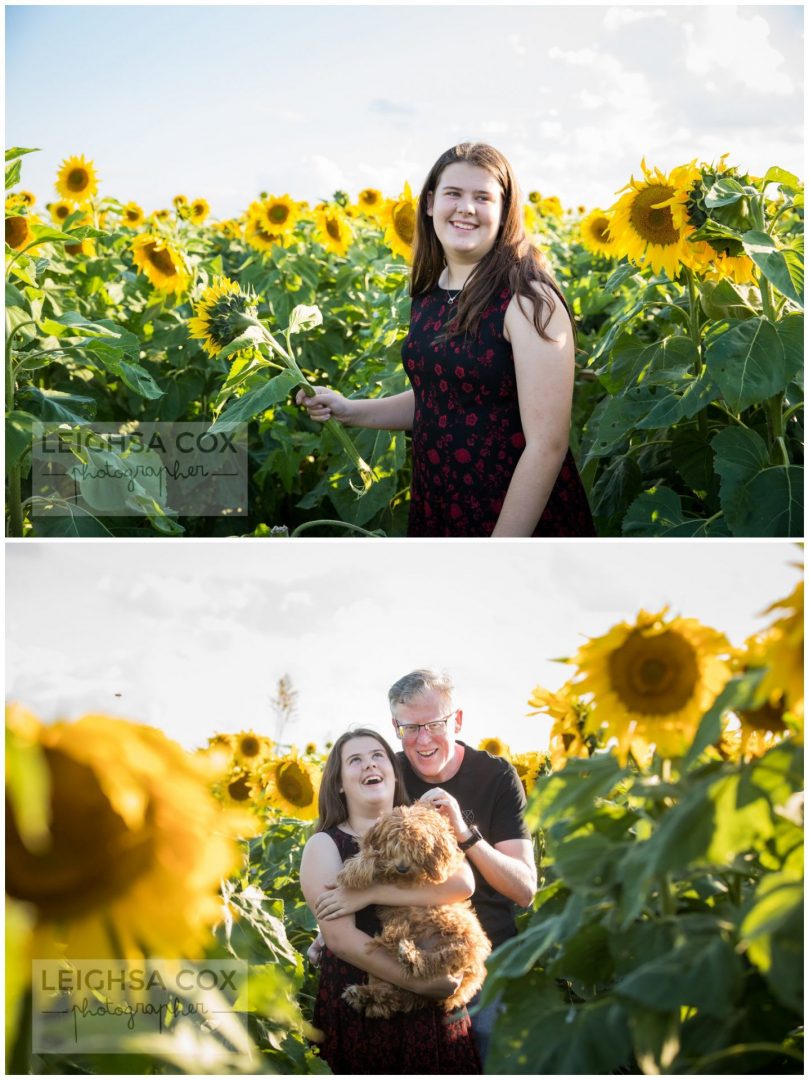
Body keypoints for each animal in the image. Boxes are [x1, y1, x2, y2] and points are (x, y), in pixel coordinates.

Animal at [336, 803, 488, 1019]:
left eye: (417, 848)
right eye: (394, 846)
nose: (402, 868)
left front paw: (354, 872)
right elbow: (374, 855)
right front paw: (356, 869)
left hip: (463, 945)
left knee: (437, 962)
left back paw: (410, 957)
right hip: (385, 974)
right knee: (390, 997)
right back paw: (364, 994)